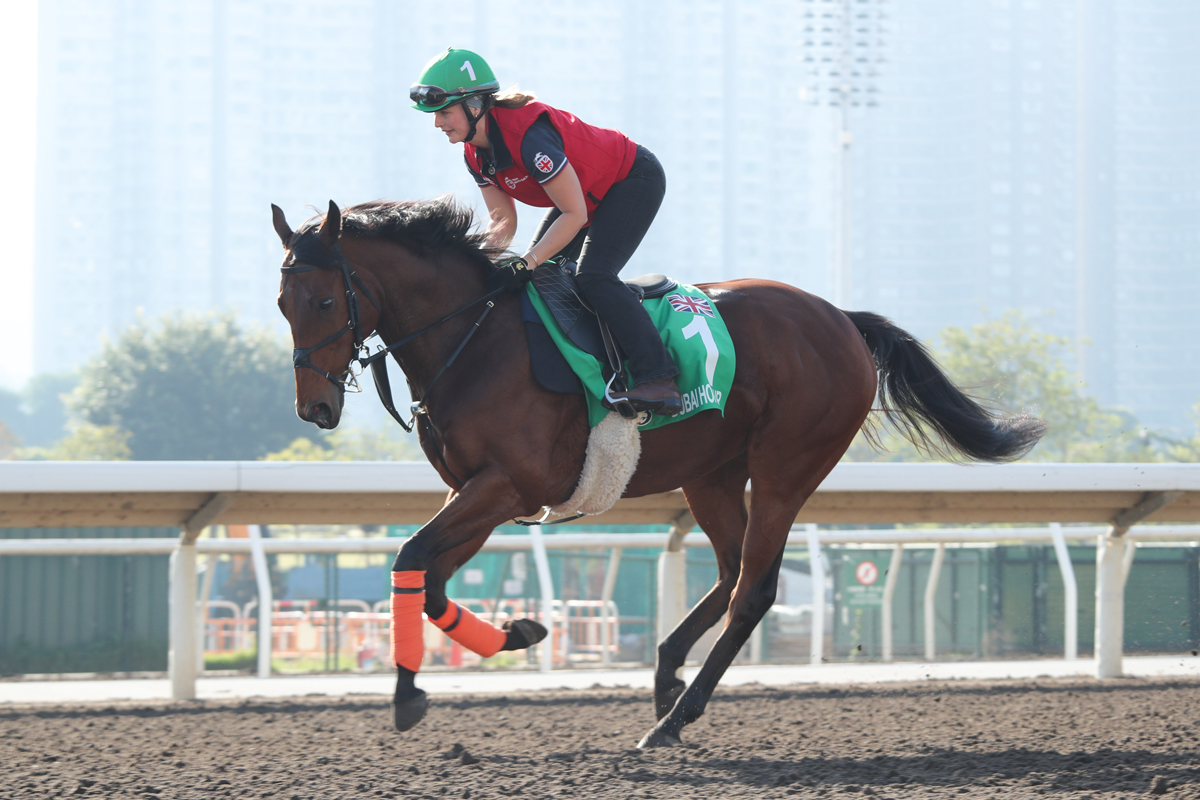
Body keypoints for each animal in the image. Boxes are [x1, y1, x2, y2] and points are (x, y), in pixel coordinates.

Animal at [270, 196, 1041, 748]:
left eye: (326, 300)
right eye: (283, 303)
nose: (314, 407)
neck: (475, 336)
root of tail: (842, 320)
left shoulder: (509, 483)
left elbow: (411, 556)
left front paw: (409, 694)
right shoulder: (480, 491)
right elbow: (428, 578)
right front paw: (514, 637)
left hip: (787, 466)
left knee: (754, 589)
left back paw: (674, 717)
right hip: (714, 473)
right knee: (730, 570)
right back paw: (667, 672)